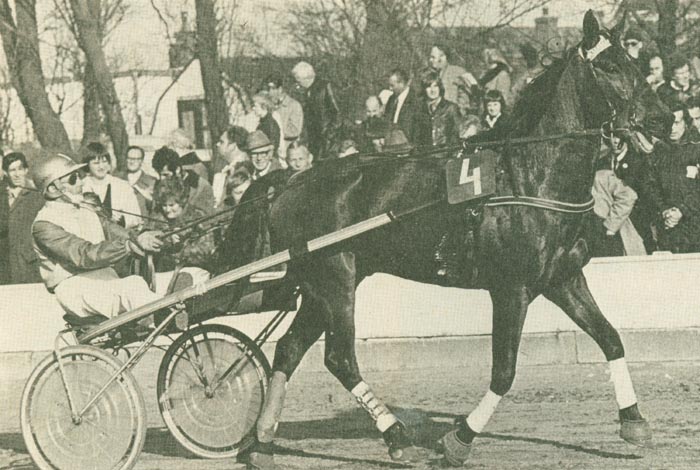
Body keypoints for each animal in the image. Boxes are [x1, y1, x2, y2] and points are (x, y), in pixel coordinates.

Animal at [216, 11, 671, 468]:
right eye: (609, 66)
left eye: (635, 62)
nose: (661, 118)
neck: (525, 176)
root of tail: (292, 179)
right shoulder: (511, 289)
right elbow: (504, 372)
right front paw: (459, 440)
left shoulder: (563, 279)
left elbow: (611, 339)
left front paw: (634, 421)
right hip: (333, 279)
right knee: (339, 357)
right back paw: (393, 433)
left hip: (321, 286)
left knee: (289, 350)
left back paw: (263, 442)